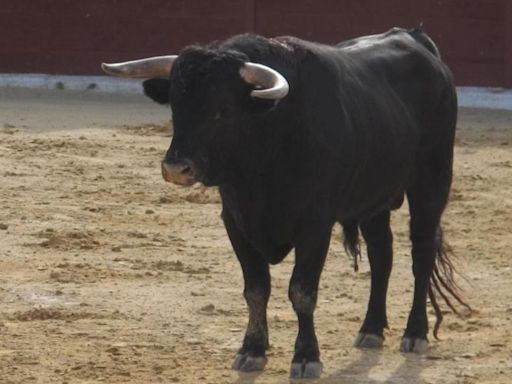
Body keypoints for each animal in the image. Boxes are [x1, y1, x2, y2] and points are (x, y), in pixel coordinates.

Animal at [101, 27, 472, 378]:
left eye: (223, 110)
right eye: (176, 106)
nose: (176, 168)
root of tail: (416, 38)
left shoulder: (315, 226)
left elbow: (302, 292)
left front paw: (306, 357)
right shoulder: (235, 221)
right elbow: (255, 289)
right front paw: (251, 351)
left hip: (432, 181)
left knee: (421, 253)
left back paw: (415, 332)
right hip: (373, 199)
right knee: (382, 256)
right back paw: (371, 329)